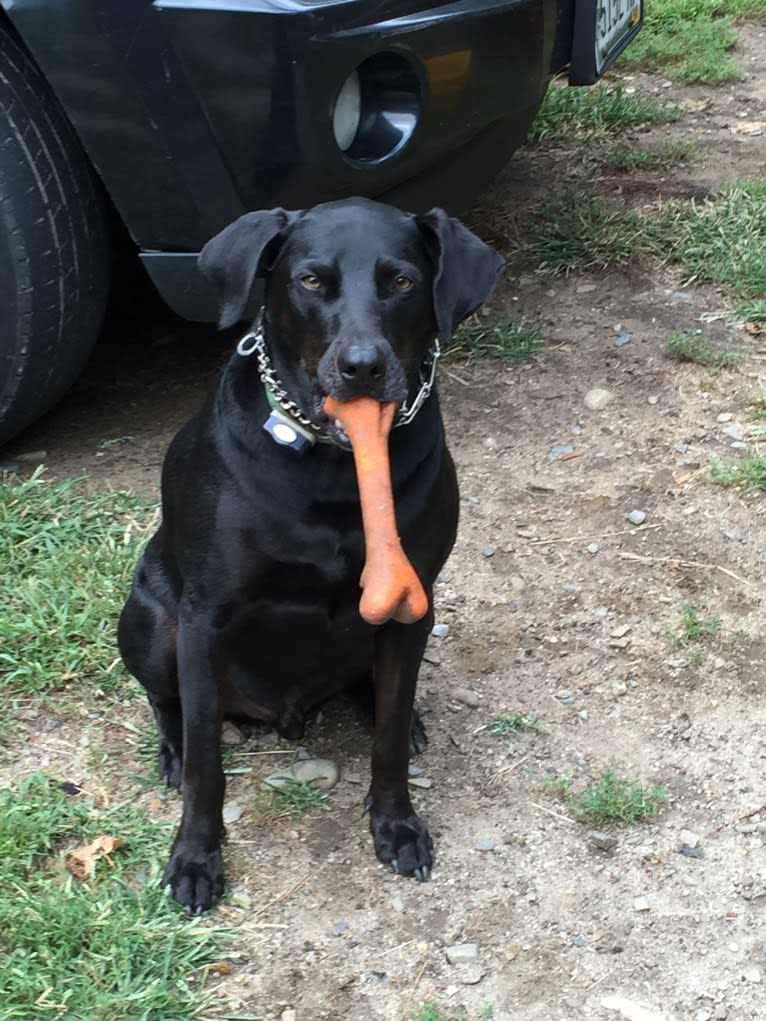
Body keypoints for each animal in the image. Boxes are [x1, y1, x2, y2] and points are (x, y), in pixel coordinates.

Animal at [118, 197, 504, 910]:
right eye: (311, 280)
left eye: (402, 281)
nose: (362, 367)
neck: (332, 469)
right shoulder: (205, 618)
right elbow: (207, 764)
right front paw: (195, 858)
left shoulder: (412, 604)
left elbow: (386, 743)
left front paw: (397, 825)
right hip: (153, 623)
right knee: (167, 702)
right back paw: (171, 750)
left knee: (381, 693)